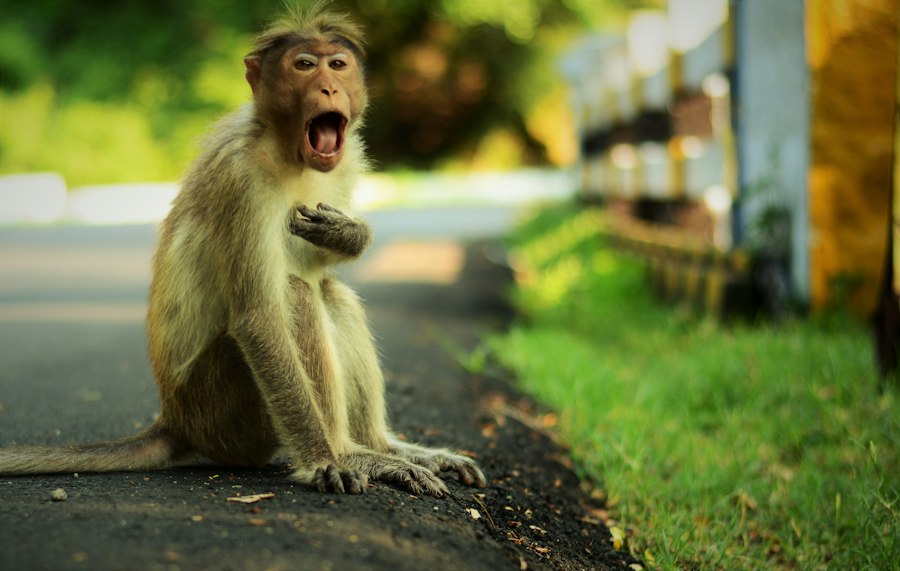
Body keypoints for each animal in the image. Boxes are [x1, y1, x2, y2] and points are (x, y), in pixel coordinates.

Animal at [0, 2, 486, 498]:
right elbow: (258, 319)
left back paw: (383, 446)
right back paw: (349, 453)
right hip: (222, 410)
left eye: (337, 64)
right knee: (295, 295)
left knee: (329, 291)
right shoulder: (243, 180)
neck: (285, 148)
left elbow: (320, 261)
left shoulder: (345, 160)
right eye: (304, 65)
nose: (329, 87)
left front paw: (348, 234)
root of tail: (175, 420)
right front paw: (323, 461)